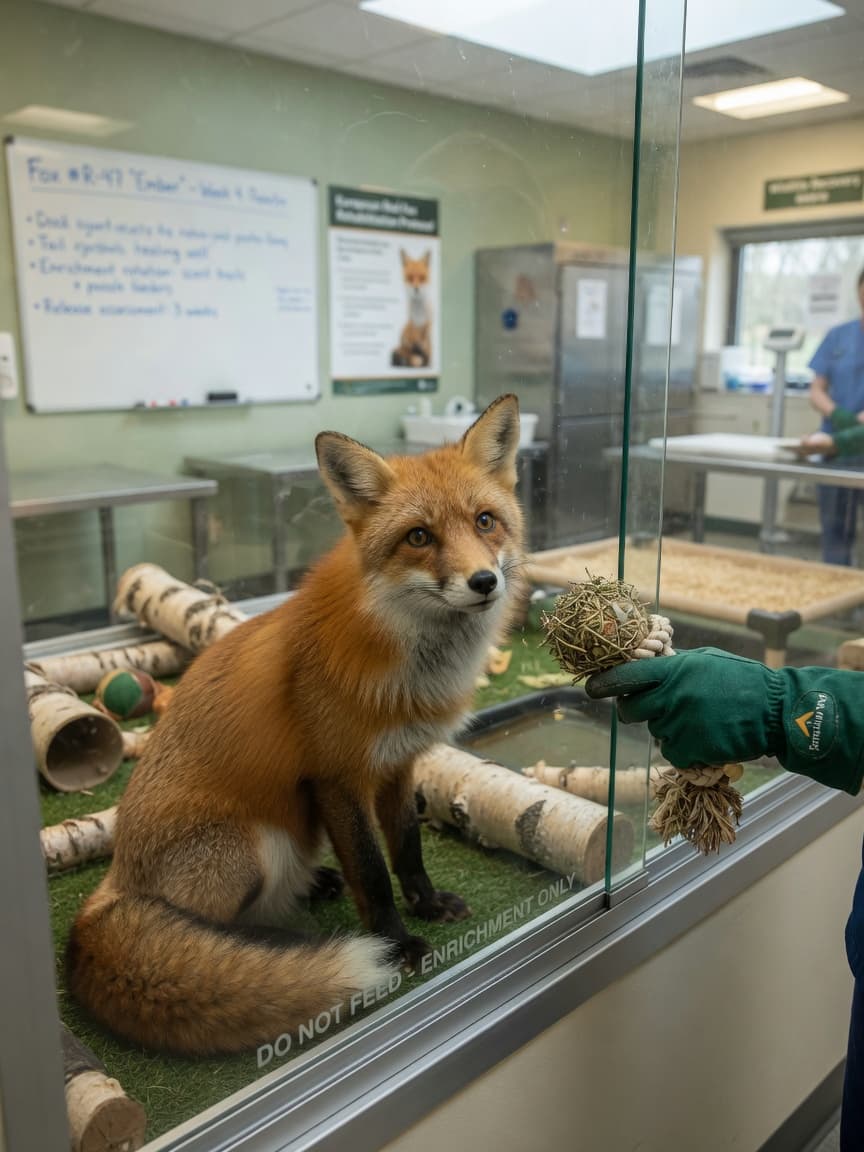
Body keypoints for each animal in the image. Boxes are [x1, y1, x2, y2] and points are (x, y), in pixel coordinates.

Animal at [66, 394, 525, 1056]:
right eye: (419, 537)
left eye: (486, 521)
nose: (485, 582)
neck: (411, 668)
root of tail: (110, 888)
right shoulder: (337, 777)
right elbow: (373, 872)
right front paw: (394, 945)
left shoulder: (398, 764)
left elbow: (406, 847)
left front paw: (427, 902)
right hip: (254, 846)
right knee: (207, 929)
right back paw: (274, 949)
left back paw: (314, 890)